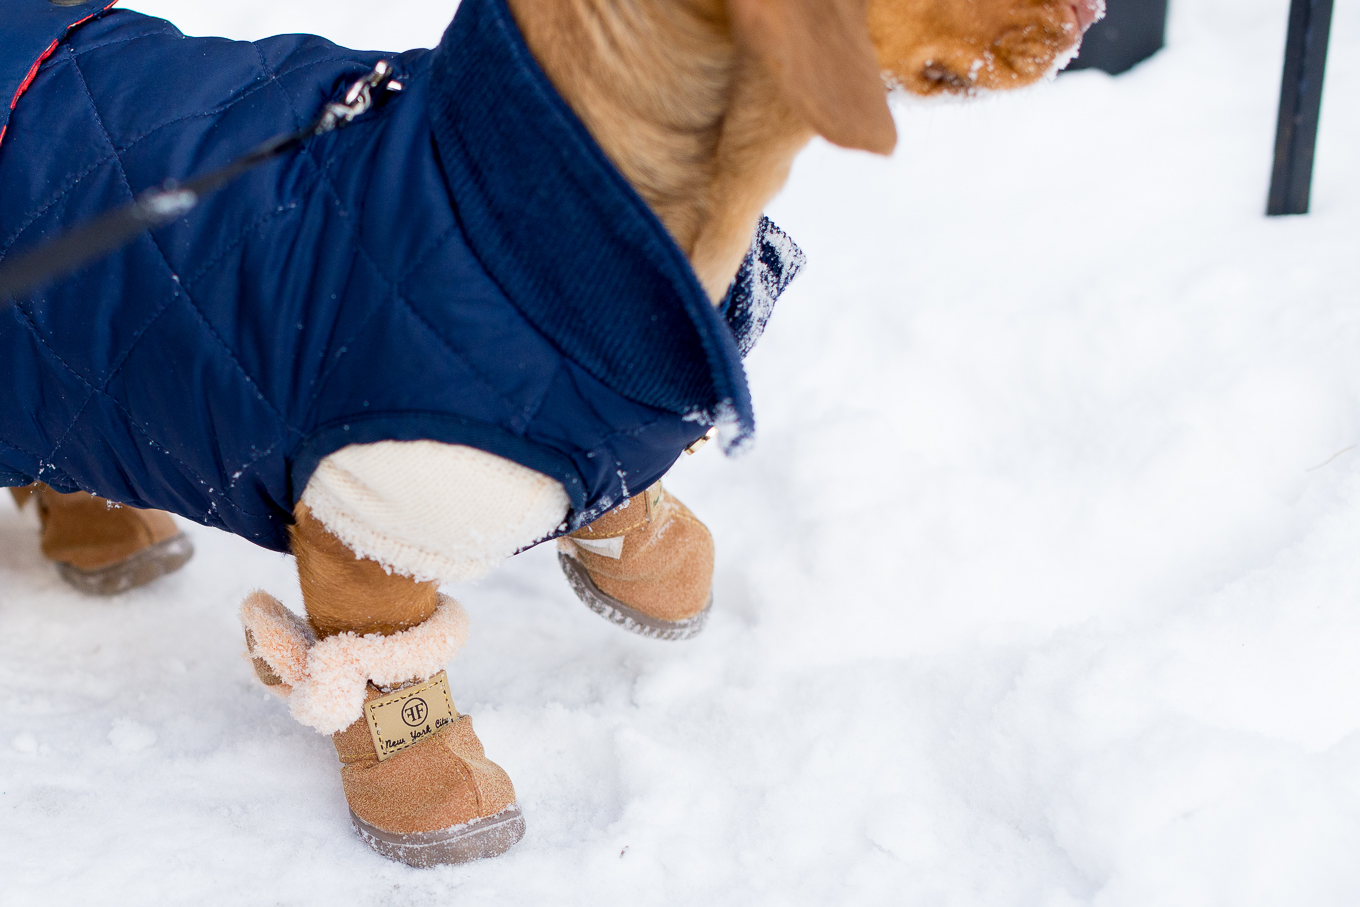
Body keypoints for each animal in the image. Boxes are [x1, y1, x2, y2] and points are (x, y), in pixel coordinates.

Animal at [0, 0, 1098, 870]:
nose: (1090, 15)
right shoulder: (368, 510)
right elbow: (381, 667)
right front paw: (431, 796)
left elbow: (654, 532)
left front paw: (651, 577)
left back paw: (103, 537)